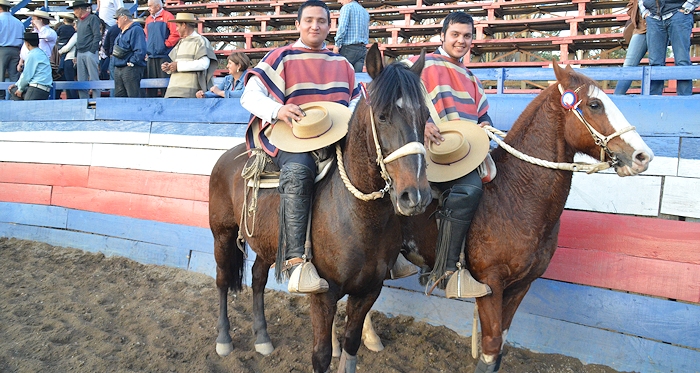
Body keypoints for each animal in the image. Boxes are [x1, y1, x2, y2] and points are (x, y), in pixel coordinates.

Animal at [206, 45, 432, 372]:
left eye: (425, 116)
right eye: (383, 116)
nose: (414, 196)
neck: (356, 215)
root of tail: (228, 158)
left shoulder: (368, 290)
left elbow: (351, 345)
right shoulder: (324, 296)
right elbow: (321, 355)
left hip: (265, 244)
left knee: (258, 279)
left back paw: (262, 338)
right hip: (222, 235)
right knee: (223, 280)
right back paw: (224, 340)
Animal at [392, 62, 652, 370]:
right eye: (595, 104)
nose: (643, 156)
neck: (515, 195)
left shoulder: (521, 285)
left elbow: (501, 340)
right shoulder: (490, 284)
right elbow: (491, 345)